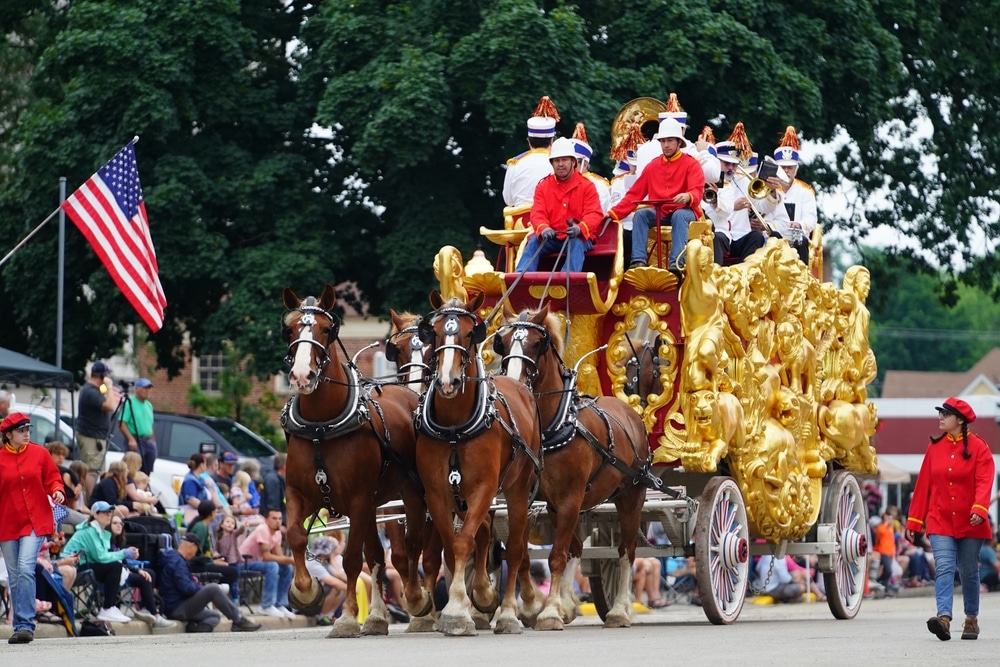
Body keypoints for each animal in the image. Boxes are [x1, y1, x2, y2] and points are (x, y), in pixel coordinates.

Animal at [284, 286, 436, 636]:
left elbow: (353, 559)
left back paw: (421, 601)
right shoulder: (299, 493)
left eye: (326, 329)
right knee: (387, 554)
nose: (301, 375)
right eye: (290, 328)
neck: (321, 427)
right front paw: (305, 590)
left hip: (411, 494)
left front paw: (348, 618)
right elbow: (296, 536)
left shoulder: (358, 499)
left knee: (419, 546)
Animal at [412, 292, 544, 636]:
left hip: (517, 489)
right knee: (485, 534)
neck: (455, 427)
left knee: (516, 548)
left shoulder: (485, 488)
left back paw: (510, 613)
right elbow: (451, 545)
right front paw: (467, 601)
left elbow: (463, 543)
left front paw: (457, 611)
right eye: (433, 332)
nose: (447, 382)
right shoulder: (437, 492)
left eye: (472, 333)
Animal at [496, 306, 652, 628]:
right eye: (501, 343)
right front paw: (533, 608)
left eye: (536, 343)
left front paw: (549, 613)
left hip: (631, 496)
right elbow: (527, 553)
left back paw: (619, 611)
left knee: (626, 551)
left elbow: (556, 556)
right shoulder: (535, 500)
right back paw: (568, 603)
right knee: (578, 548)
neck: (550, 428)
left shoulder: (570, 498)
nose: (513, 382)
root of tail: (630, 410)